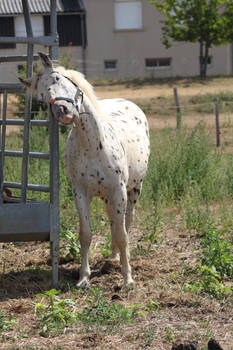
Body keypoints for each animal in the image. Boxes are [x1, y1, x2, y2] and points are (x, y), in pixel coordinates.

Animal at [19, 51, 149, 288]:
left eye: (57, 79)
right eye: (41, 97)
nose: (62, 111)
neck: (92, 145)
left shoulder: (118, 191)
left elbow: (123, 235)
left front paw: (127, 278)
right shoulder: (80, 193)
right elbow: (86, 234)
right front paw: (83, 278)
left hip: (133, 190)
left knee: (126, 222)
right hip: (108, 197)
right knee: (113, 221)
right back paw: (113, 257)